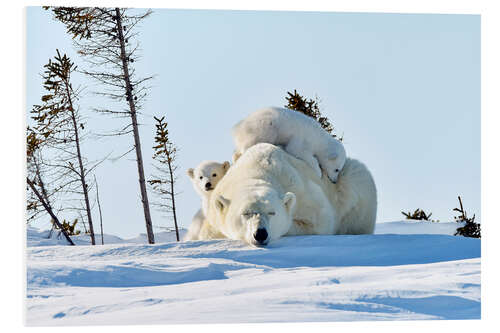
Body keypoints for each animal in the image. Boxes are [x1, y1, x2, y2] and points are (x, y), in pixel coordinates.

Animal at [197, 143, 376, 246]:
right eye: (246, 213)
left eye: (272, 212)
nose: (260, 233)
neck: (256, 172)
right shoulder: (214, 209)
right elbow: (208, 231)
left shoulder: (302, 191)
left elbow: (318, 222)